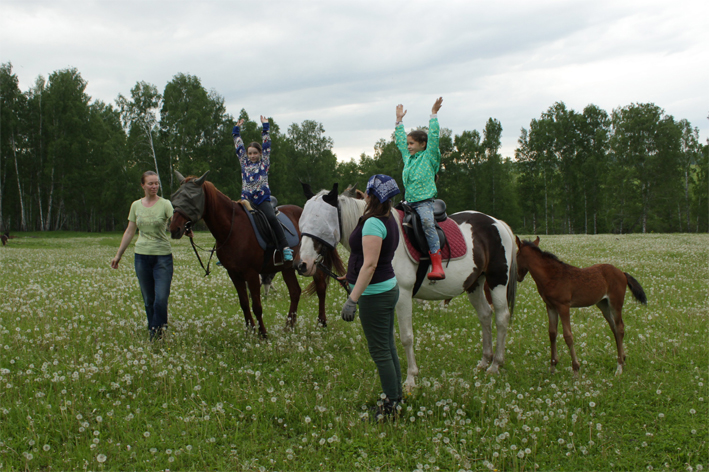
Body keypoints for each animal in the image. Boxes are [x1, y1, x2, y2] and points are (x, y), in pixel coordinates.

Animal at [169, 171, 338, 338]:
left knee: (321, 288)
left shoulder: (251, 273)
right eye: (175, 196)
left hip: (312, 263)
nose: (174, 228)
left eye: (190, 198)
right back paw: (289, 326)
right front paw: (249, 331)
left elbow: (257, 305)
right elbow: (244, 303)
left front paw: (262, 333)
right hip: (288, 268)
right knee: (295, 292)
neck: (232, 228)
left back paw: (321, 323)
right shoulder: (234, 274)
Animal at [294, 183, 516, 390]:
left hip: (497, 281)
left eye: (321, 222)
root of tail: (497, 223)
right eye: (302, 221)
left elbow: (407, 337)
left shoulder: (403, 296)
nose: (302, 264)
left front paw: (410, 379)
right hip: (475, 283)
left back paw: (495, 364)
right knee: (485, 315)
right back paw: (484, 361)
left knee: (501, 318)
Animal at [516, 236, 648, 376]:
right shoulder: (550, 306)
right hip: (603, 304)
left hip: (615, 303)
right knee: (614, 328)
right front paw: (552, 367)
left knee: (620, 328)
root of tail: (622, 273)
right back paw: (622, 358)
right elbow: (552, 333)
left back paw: (619, 367)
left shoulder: (563, 306)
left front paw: (575, 368)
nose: (518, 277)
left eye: (516, 255)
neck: (552, 276)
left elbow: (568, 335)